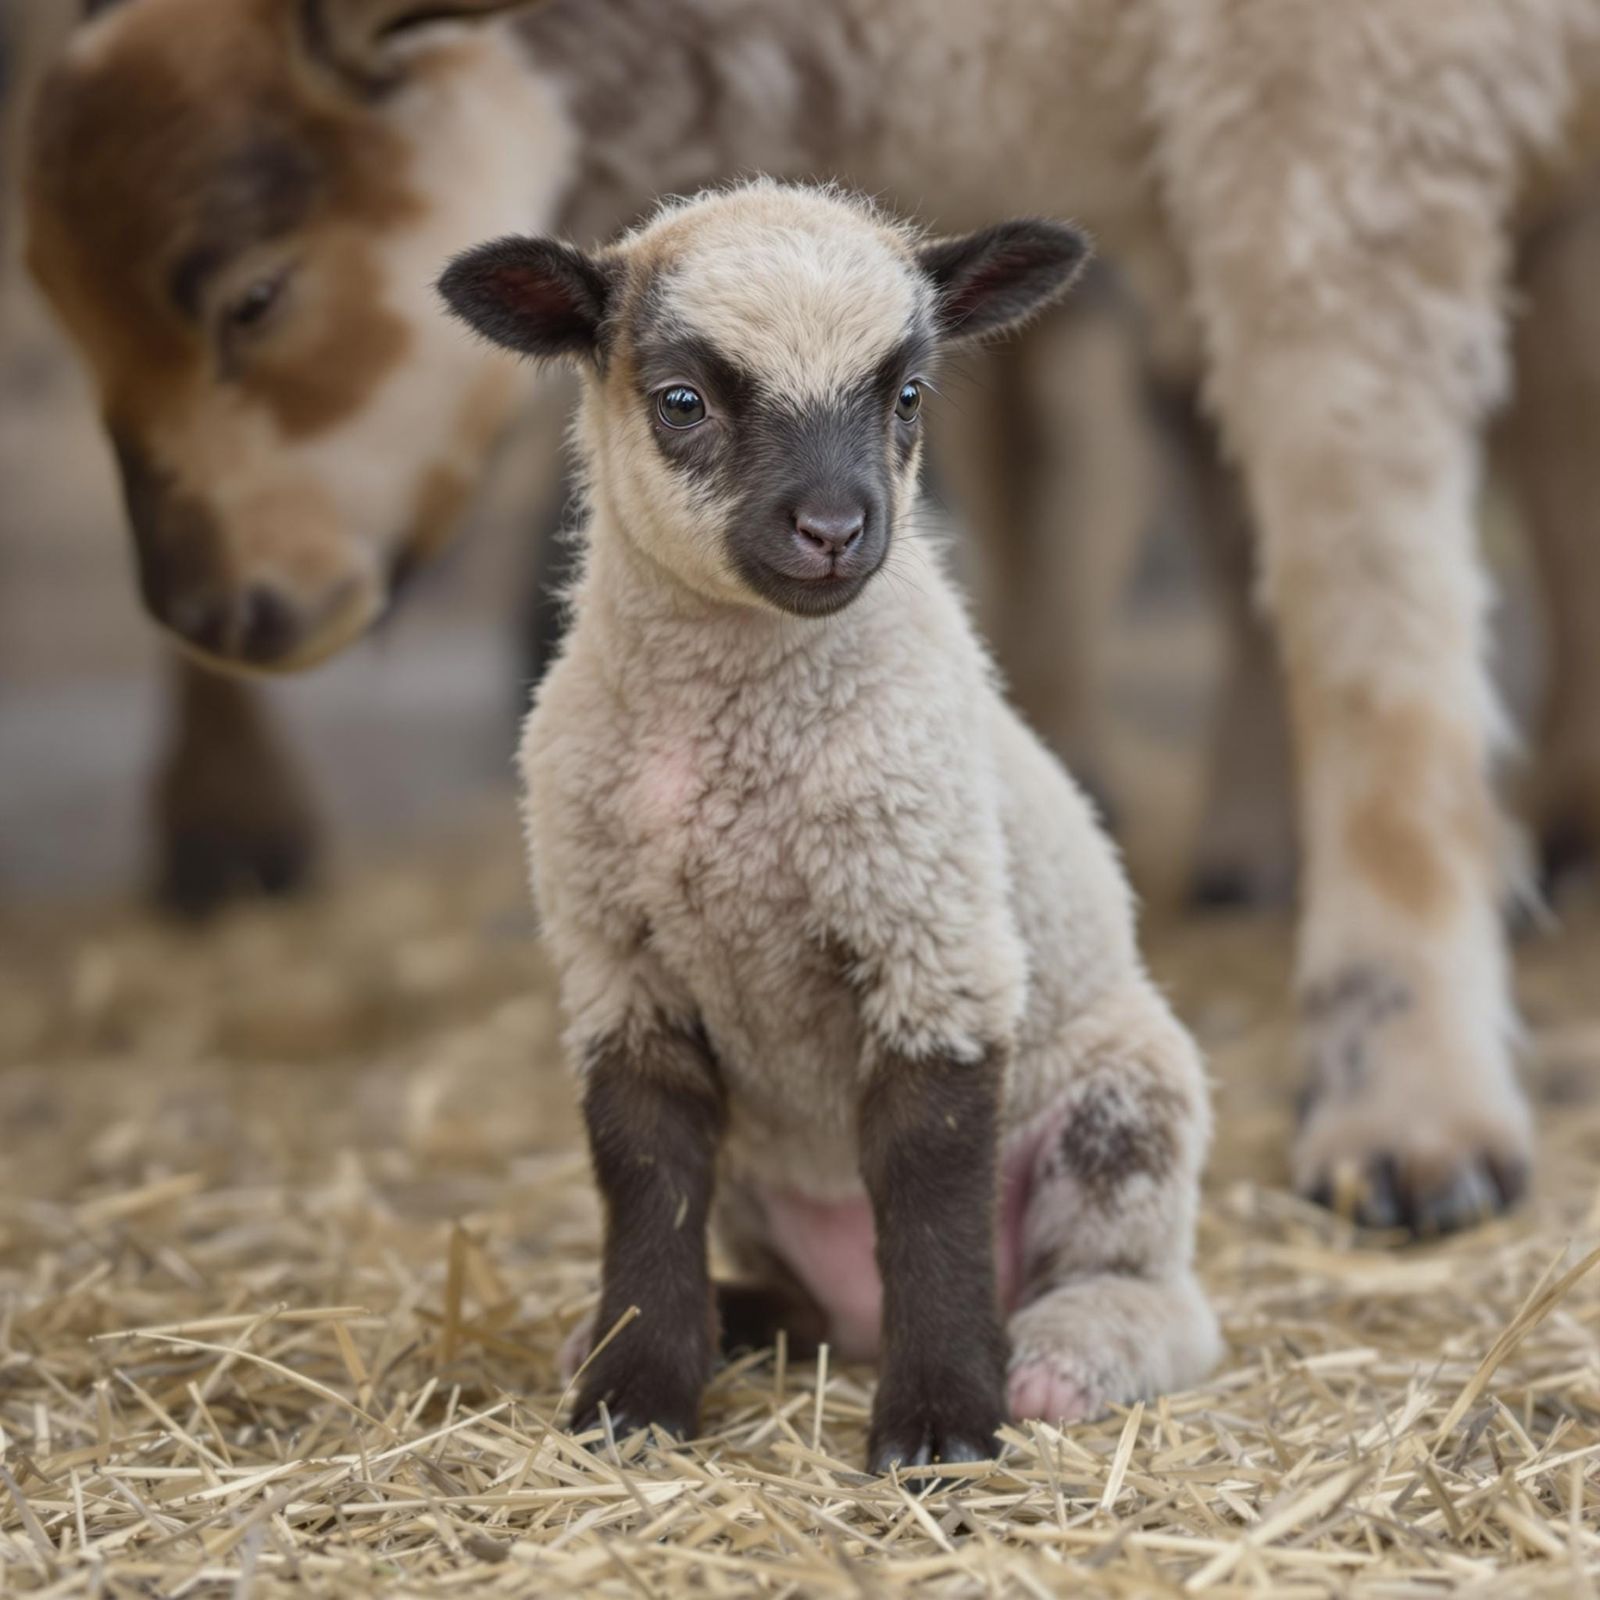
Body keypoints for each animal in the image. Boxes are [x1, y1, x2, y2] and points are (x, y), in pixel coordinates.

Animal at [436, 180, 1220, 1464]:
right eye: (682, 400)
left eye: (906, 396)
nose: (834, 527)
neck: (732, 749)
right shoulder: (616, 967)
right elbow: (644, 1177)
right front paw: (631, 1391)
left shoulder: (934, 938)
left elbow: (930, 1185)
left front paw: (941, 1426)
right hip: (769, 1181)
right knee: (804, 1298)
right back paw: (706, 1325)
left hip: (1125, 1096)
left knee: (1155, 1294)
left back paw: (1059, 1359)